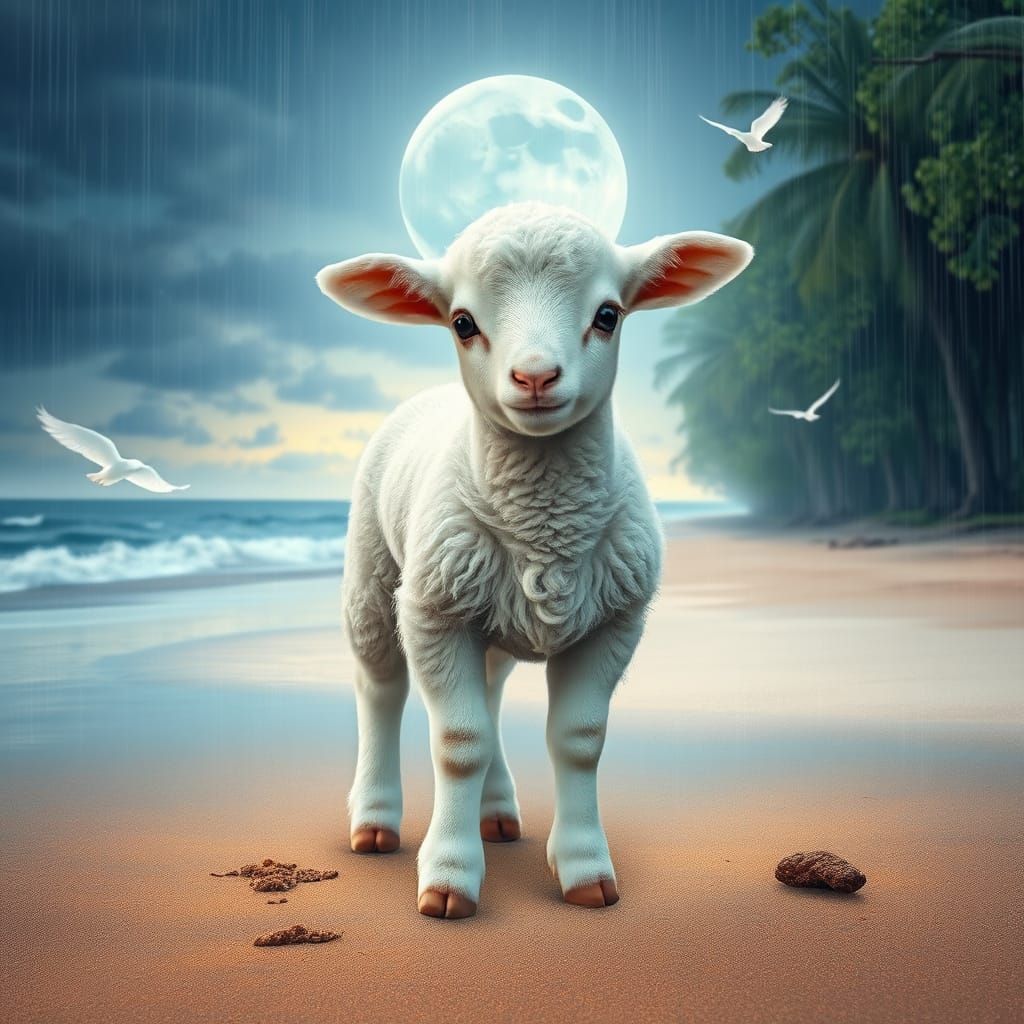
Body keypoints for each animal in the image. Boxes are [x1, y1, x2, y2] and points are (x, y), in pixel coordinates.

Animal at [316, 201, 752, 919]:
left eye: (608, 314)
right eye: (463, 323)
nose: (536, 377)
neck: (545, 526)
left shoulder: (615, 622)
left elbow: (579, 739)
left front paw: (585, 871)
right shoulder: (435, 614)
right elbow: (457, 743)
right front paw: (448, 879)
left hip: (488, 613)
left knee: (490, 696)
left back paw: (496, 813)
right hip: (376, 577)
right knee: (380, 687)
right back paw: (374, 821)